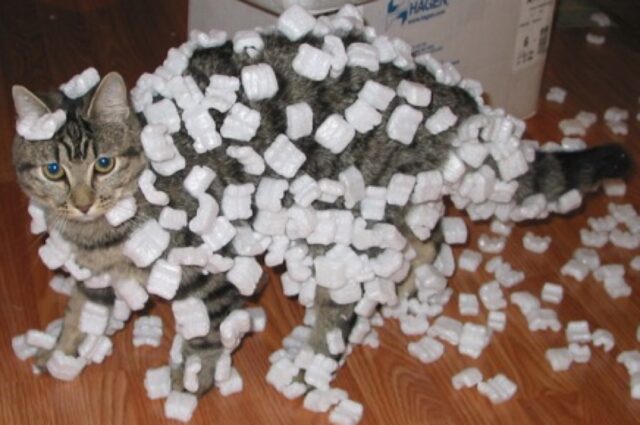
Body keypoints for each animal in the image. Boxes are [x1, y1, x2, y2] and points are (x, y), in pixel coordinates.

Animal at [10, 4, 632, 422]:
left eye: (104, 163)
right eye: (54, 170)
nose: (82, 199)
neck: (99, 233)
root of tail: (442, 87)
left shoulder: (209, 272)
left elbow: (208, 338)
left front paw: (191, 384)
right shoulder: (94, 277)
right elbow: (78, 316)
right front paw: (57, 353)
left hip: (341, 228)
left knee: (348, 301)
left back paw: (312, 360)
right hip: (391, 205)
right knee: (426, 238)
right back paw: (412, 288)